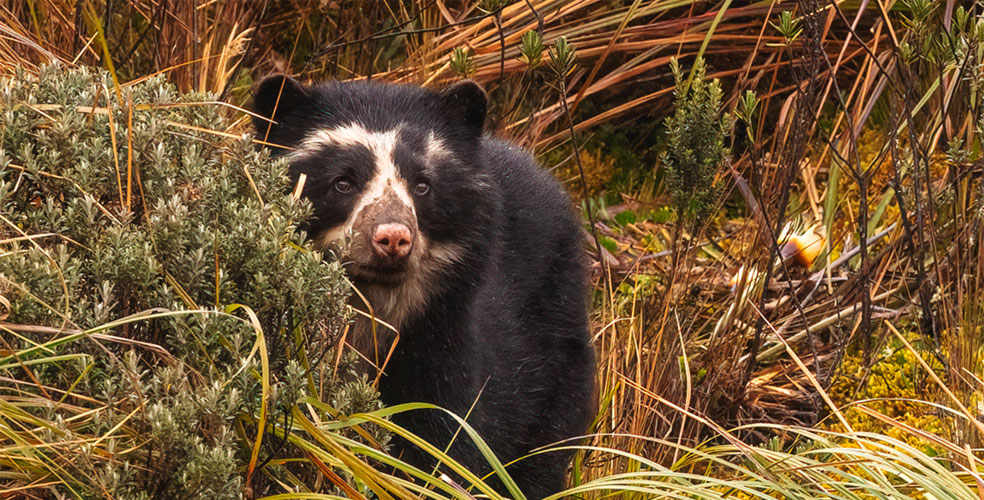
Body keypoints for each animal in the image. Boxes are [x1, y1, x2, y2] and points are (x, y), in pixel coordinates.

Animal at [252, 75, 595, 499]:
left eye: (422, 185)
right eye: (343, 182)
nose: (393, 238)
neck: (375, 306)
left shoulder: (440, 338)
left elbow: (445, 437)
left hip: (555, 350)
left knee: (541, 454)